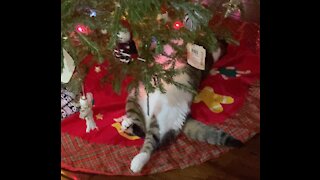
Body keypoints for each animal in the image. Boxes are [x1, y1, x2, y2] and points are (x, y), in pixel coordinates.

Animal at [121, 39, 241, 173]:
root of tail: (185, 117)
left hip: (159, 118)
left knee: (152, 141)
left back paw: (138, 161)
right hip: (134, 99)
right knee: (142, 129)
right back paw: (127, 123)